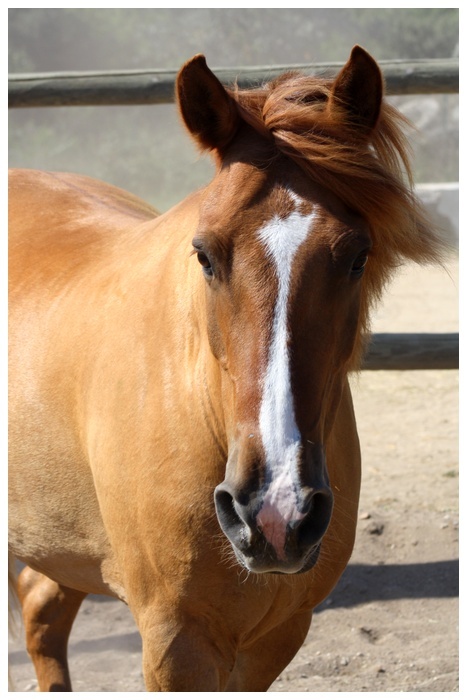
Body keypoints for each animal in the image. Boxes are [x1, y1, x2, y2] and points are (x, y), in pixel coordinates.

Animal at [8, 46, 446, 692]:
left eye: (358, 256)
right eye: (205, 254)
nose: (275, 511)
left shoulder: (274, 638)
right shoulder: (176, 642)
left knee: (43, 611)